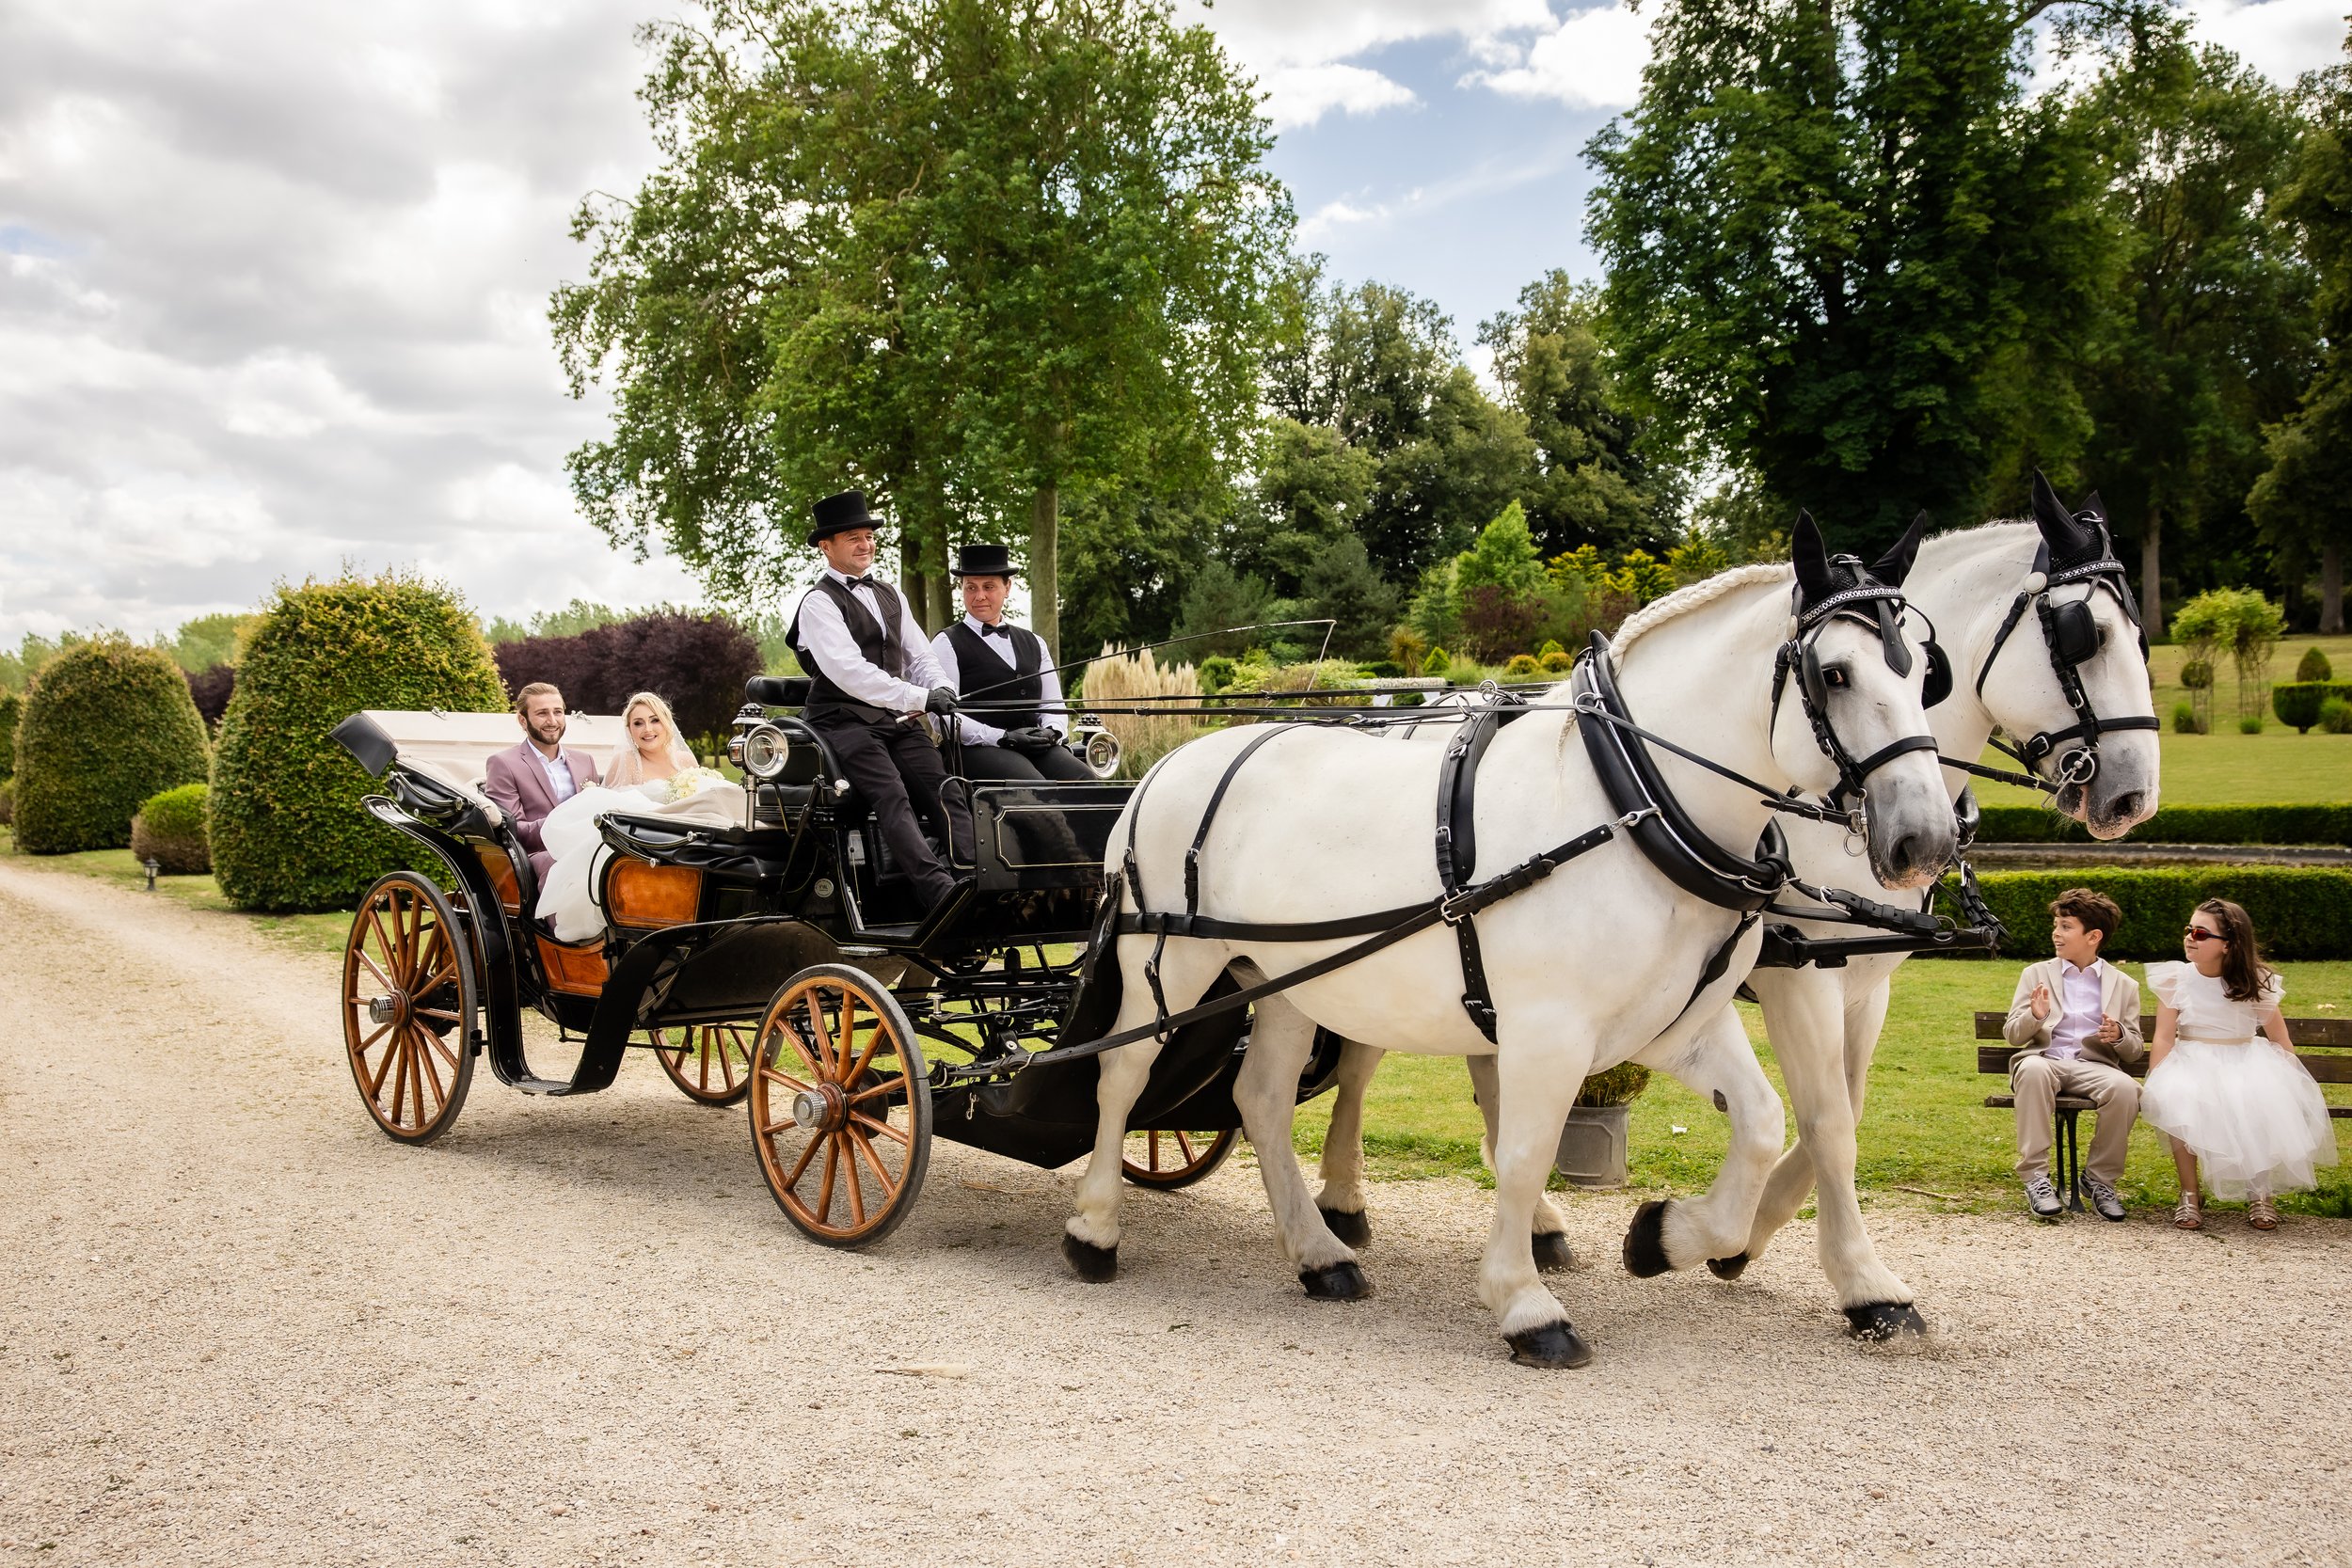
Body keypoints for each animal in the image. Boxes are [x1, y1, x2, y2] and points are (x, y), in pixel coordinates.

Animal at [1058, 519, 1959, 1366]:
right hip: (1171, 963)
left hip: (1282, 980)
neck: (1632, 805)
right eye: (1835, 673)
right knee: (1120, 1074)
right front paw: (1527, 1303)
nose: (1927, 839)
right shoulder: (1552, 1029)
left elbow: (1770, 1121)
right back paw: (1094, 1229)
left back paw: (1320, 1254)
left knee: (1262, 1100)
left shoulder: (1679, 1022)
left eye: (1924, 672)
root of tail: (1163, 764)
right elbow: (1526, 1151)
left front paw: (1666, 1236)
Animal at [1310, 475, 2161, 1339]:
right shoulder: (1799, 976)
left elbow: (1839, 1109)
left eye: (1927, 672)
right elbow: (1829, 1121)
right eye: (2084, 634)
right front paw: (1854, 1279)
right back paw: (1342, 1202)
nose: (2133, 794)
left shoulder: (1866, 980)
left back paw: (1538, 1224)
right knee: (1362, 1057)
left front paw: (1743, 1238)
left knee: (1483, 1067)